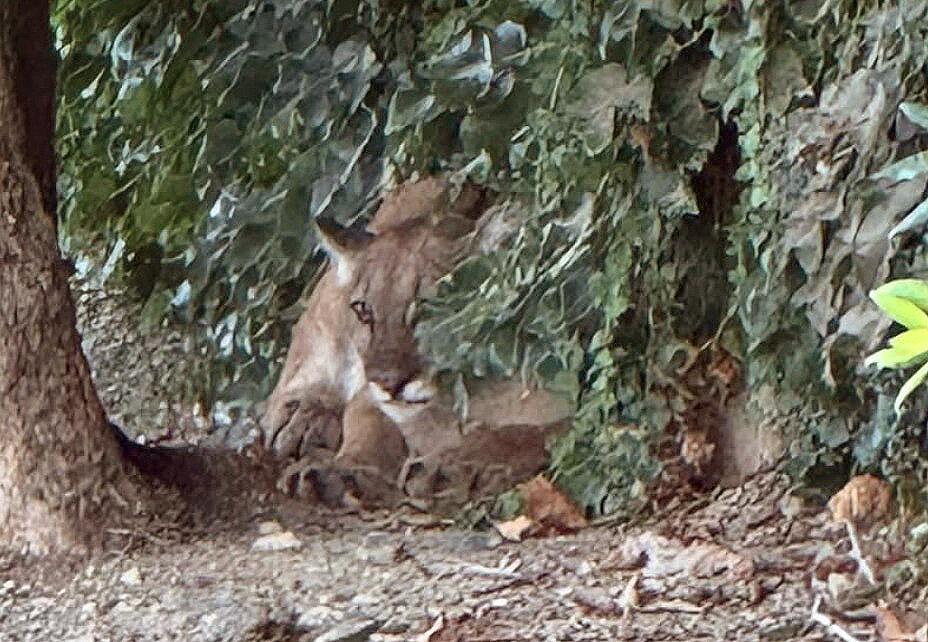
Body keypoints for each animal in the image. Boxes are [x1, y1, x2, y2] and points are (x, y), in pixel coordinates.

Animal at [260, 177, 572, 505]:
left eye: (428, 306)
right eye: (364, 311)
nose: (387, 382)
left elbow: (530, 435)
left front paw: (448, 465)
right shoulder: (370, 394)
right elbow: (366, 422)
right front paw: (342, 468)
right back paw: (304, 415)